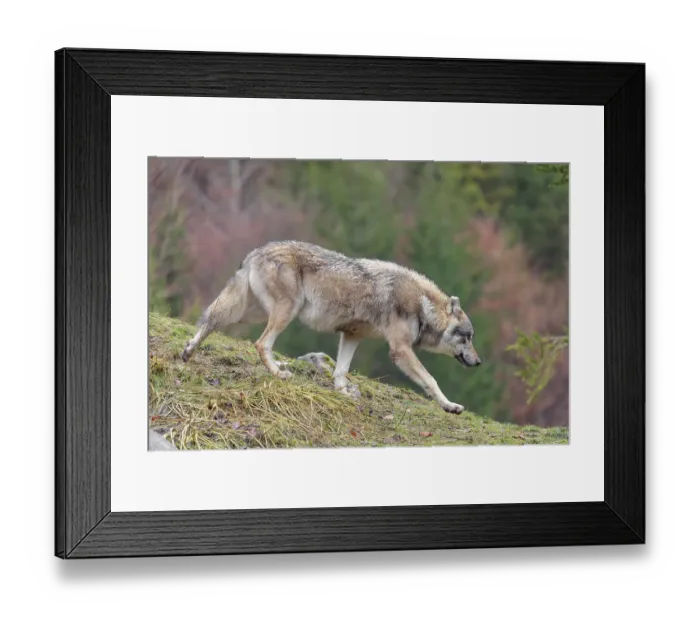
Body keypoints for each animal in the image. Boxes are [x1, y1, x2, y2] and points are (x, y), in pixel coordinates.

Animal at [182, 241, 481, 413]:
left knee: (211, 319)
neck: (422, 305)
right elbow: (431, 380)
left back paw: (188, 351)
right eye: (467, 337)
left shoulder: (352, 335)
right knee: (261, 343)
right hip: (284, 314)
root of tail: (257, 251)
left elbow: (340, 371)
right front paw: (450, 405)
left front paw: (343, 393)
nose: (478, 362)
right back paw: (279, 373)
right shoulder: (400, 350)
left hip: (247, 314)